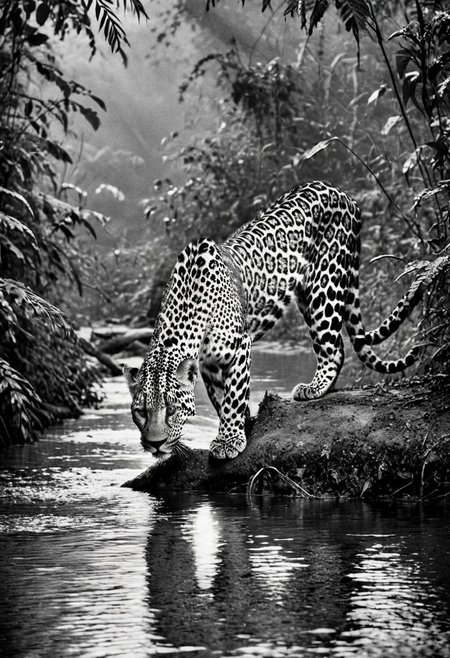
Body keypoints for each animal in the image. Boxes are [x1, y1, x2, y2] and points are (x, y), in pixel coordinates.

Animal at [125, 180, 423, 461]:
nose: (155, 444)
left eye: (172, 409)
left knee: (334, 347)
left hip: (323, 287)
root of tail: (344, 194)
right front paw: (240, 423)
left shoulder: (239, 346)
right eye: (140, 412)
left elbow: (233, 396)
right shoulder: (208, 364)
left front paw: (229, 440)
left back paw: (314, 387)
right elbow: (221, 398)